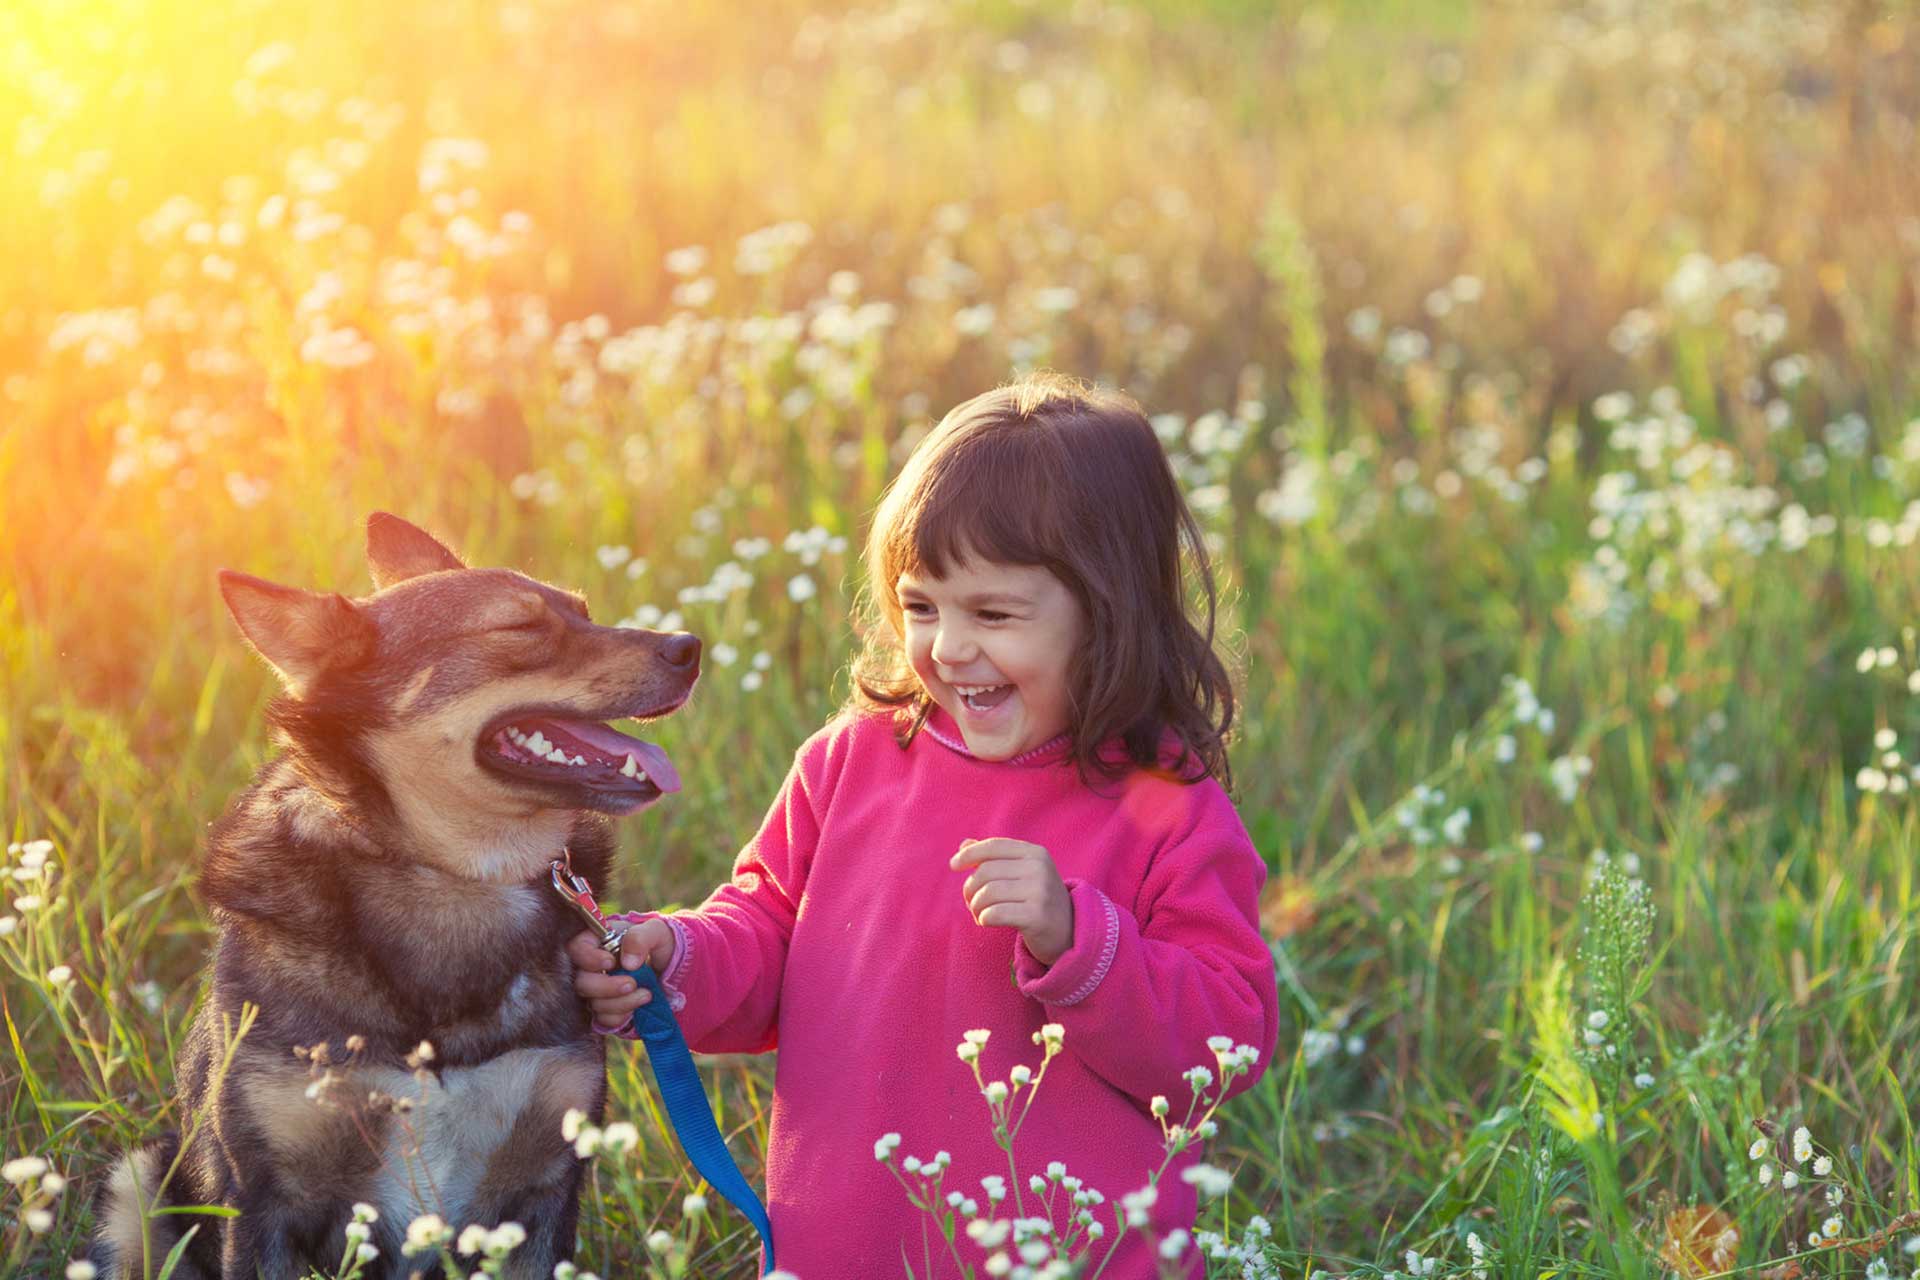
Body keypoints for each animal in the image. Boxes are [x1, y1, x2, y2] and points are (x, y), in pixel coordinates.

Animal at [91, 514, 706, 1274]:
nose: (690, 647)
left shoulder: (544, 1188)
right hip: (134, 1189)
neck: (457, 879)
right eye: (520, 627)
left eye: (584, 611)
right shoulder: (263, 1201)